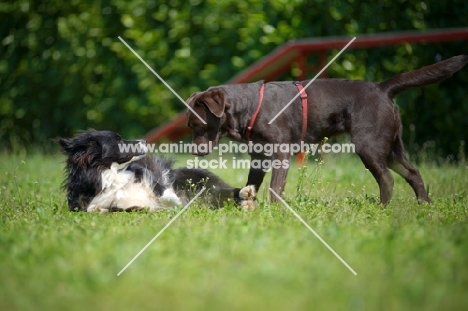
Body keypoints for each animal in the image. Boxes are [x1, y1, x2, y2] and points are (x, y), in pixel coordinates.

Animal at [56, 130, 258, 213]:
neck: (109, 174)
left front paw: (174, 201)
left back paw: (246, 193)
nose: (145, 141)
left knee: (227, 192)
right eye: (118, 140)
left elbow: (160, 187)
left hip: (196, 182)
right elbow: (94, 208)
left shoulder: (142, 170)